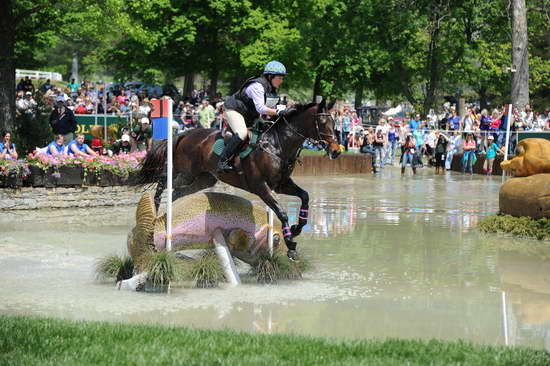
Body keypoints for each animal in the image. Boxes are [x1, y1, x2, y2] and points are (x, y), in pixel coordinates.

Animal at [135, 99, 340, 260]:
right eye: (322, 121)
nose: (336, 151)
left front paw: (297, 227)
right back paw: (154, 210)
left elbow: (304, 196)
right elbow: (281, 212)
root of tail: (185, 133)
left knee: (177, 192)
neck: (277, 145)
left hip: (203, 179)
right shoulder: (261, 186)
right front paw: (290, 243)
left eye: (333, 121)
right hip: (184, 172)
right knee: (163, 183)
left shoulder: (282, 184)